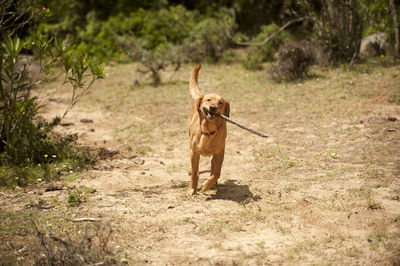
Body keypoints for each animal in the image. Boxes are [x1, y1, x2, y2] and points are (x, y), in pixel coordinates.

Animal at [187, 64, 230, 195]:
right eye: (209, 100)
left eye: (220, 102)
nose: (213, 107)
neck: (208, 131)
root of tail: (200, 95)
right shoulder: (194, 153)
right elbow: (194, 173)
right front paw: (192, 189)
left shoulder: (219, 154)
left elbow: (217, 173)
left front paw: (207, 185)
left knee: (212, 169)